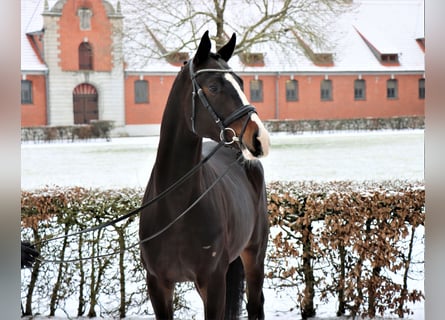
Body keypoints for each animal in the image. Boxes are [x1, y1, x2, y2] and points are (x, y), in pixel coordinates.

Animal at [139, 30, 270, 320]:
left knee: (255, 303)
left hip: (254, 255)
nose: (259, 139)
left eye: (241, 82)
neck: (176, 207)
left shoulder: (213, 282)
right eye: (213, 87)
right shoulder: (158, 285)